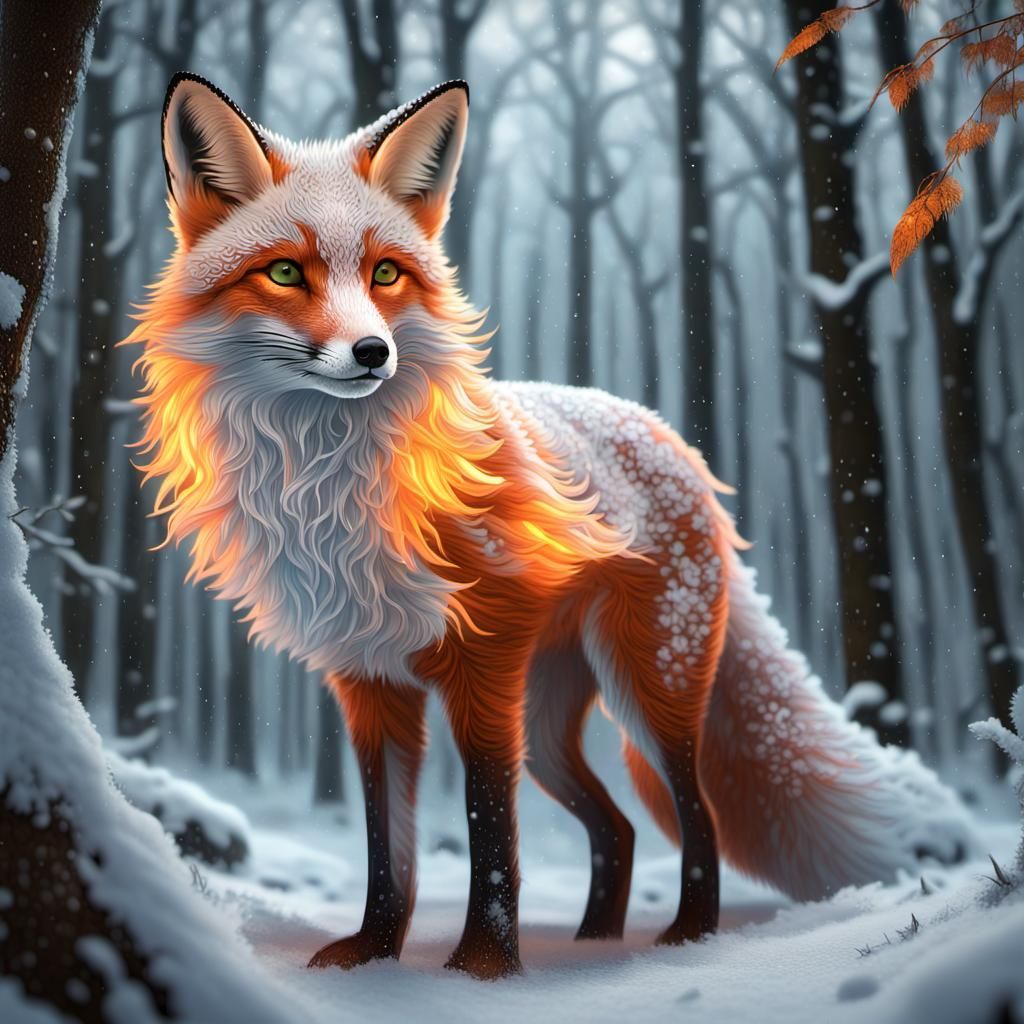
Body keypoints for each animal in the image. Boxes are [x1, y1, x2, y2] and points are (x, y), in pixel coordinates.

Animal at [129, 73, 974, 980]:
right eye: (285, 271)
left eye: (387, 273)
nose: (372, 353)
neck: (332, 486)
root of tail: (666, 436)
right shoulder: (371, 681)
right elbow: (387, 844)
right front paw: (376, 954)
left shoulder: (484, 668)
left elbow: (489, 827)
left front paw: (483, 967)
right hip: (549, 721)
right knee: (620, 825)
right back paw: (596, 939)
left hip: (644, 689)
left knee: (696, 813)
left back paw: (687, 937)